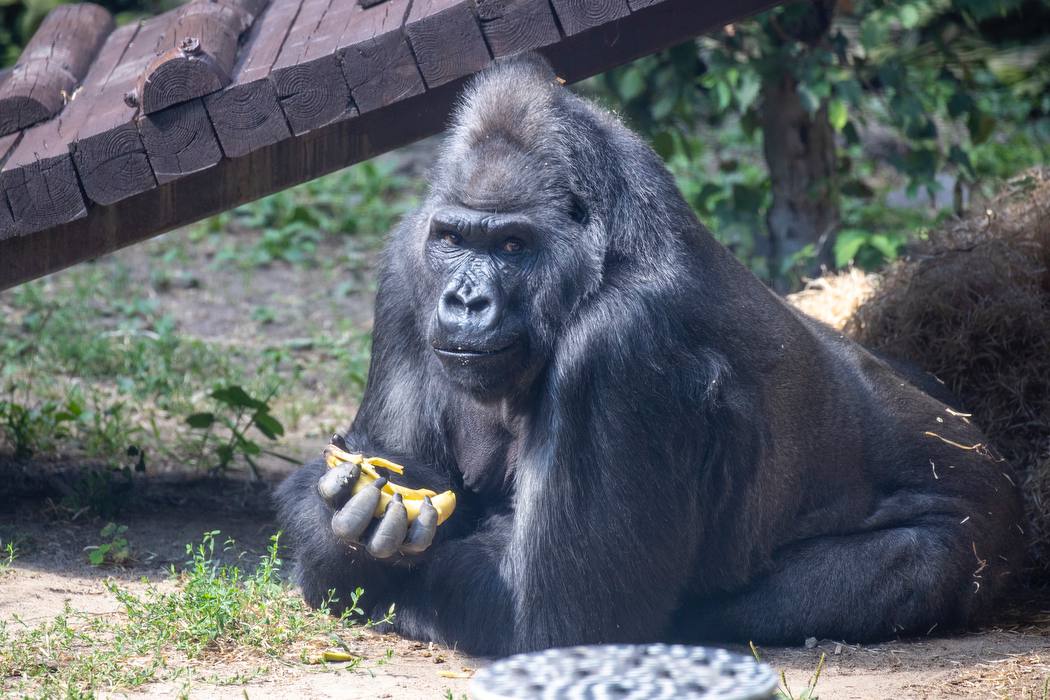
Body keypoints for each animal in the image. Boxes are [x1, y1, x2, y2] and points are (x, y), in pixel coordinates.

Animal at [275, 54, 1020, 659]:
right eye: (455, 239)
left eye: (513, 246)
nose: (465, 301)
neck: (597, 256)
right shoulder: (409, 264)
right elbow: (401, 463)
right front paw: (342, 526)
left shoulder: (620, 345)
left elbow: (556, 619)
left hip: (981, 535)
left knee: (913, 560)